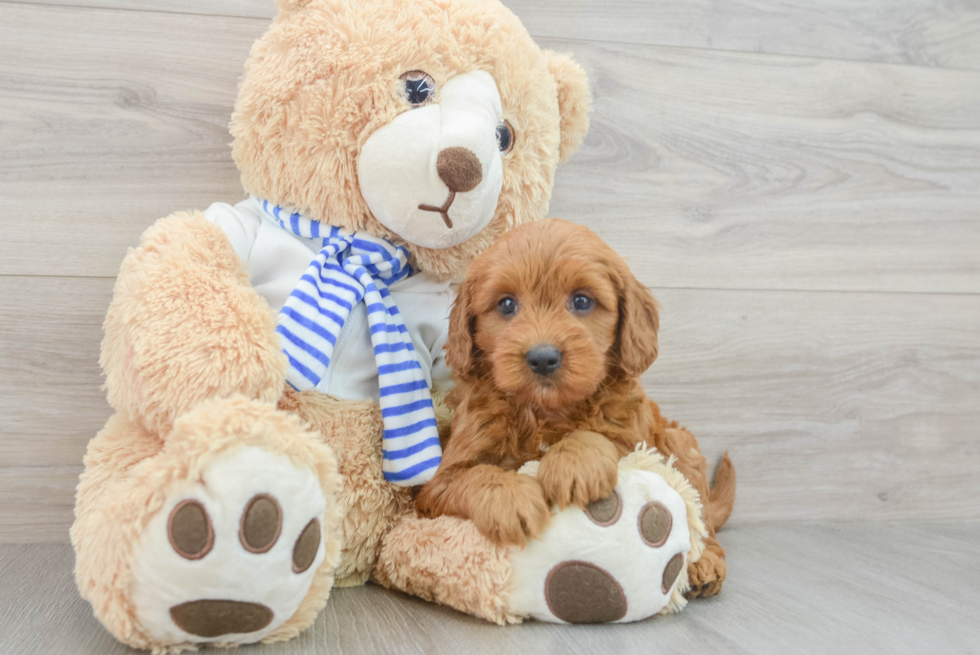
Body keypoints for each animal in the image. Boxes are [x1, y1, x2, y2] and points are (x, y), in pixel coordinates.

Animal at [416, 218, 736, 596]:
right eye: (506, 305)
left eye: (582, 301)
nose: (542, 357)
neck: (545, 411)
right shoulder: (439, 481)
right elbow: (473, 476)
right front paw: (513, 499)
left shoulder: (635, 438)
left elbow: (601, 438)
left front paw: (572, 463)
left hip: (679, 444)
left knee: (700, 514)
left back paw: (705, 562)